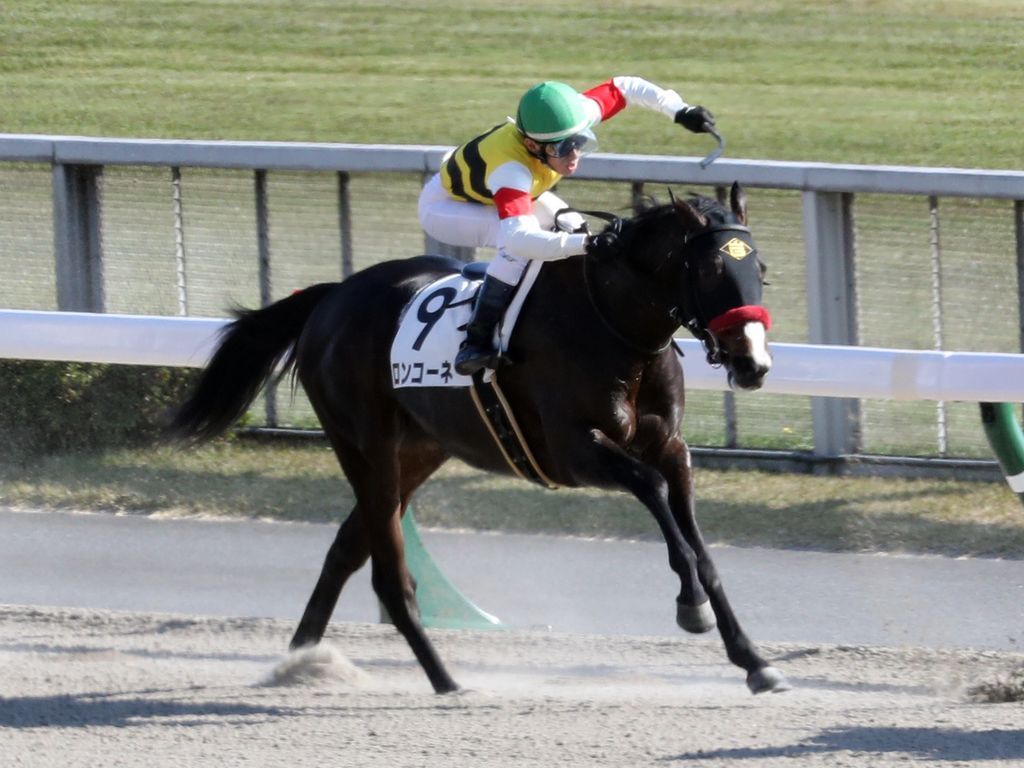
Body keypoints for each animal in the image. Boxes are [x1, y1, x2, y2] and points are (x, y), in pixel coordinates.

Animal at [169, 181, 787, 694]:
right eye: (708, 272)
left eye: (760, 268)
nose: (752, 364)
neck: (612, 324)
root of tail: (331, 296)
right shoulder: (573, 452)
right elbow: (653, 491)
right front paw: (691, 607)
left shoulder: (672, 448)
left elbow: (701, 548)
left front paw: (755, 662)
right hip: (365, 446)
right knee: (389, 574)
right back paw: (444, 681)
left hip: (420, 450)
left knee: (345, 550)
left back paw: (299, 662)